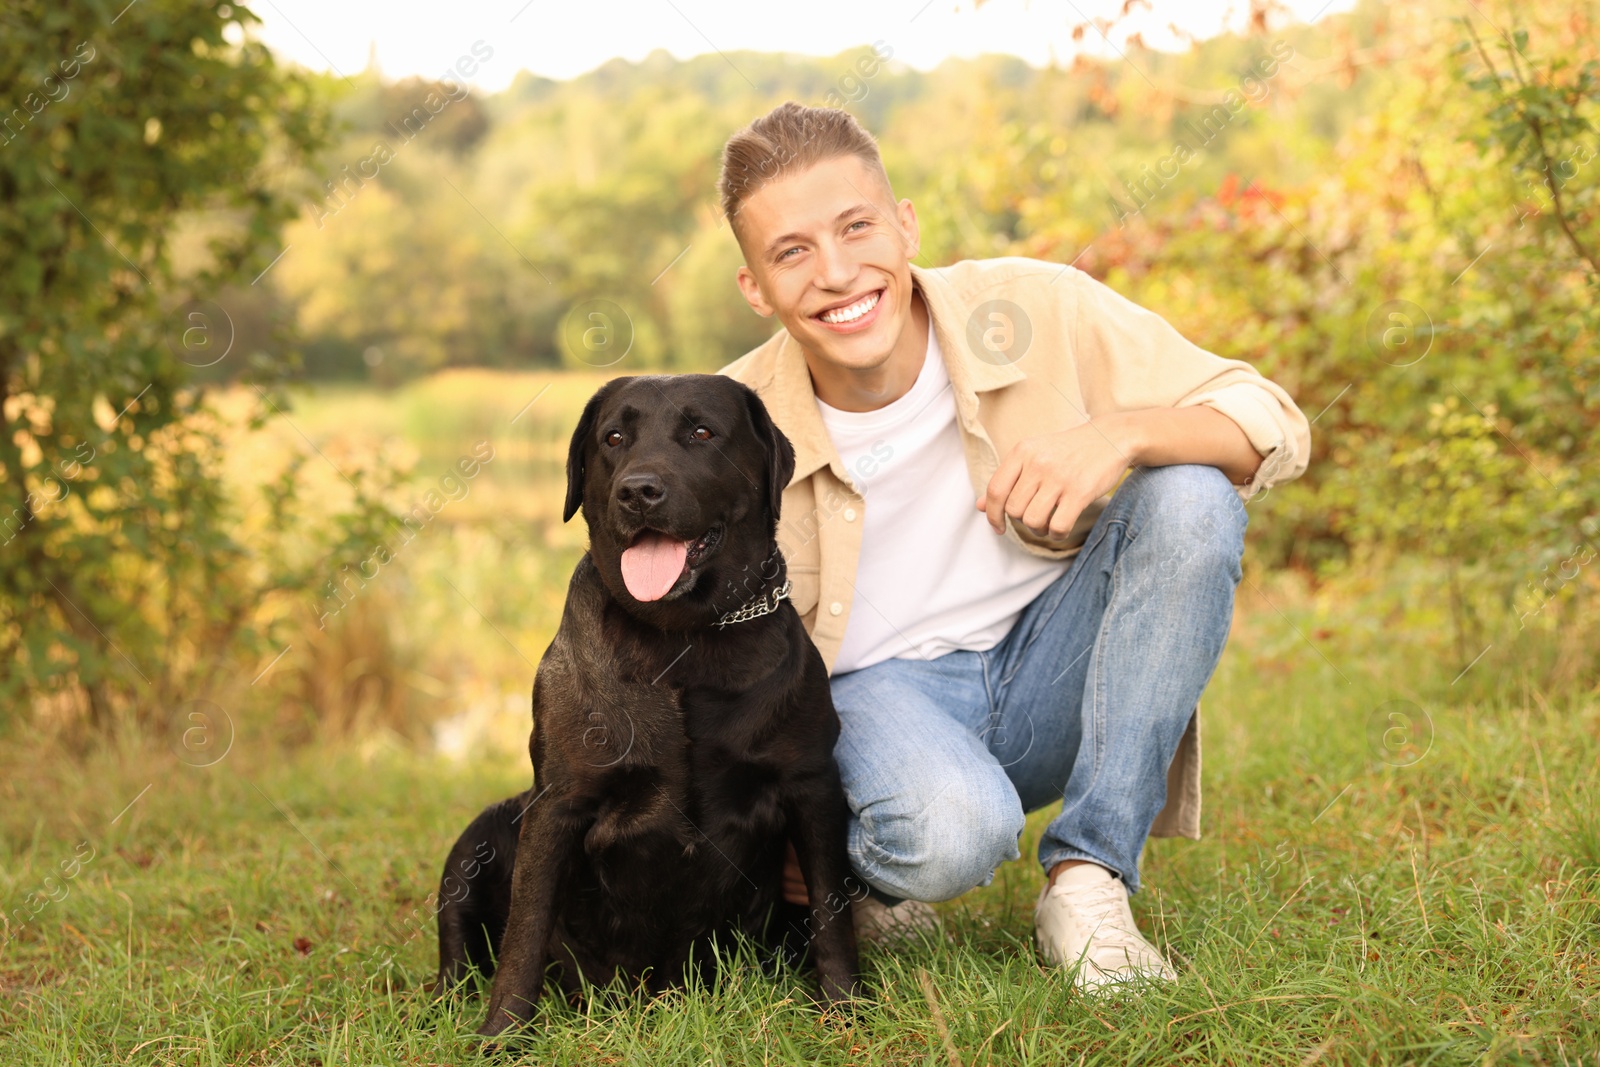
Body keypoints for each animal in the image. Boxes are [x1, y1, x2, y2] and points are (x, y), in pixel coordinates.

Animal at [438, 374, 864, 1036]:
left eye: (702, 432)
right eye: (614, 438)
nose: (638, 490)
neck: (680, 642)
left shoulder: (812, 783)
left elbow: (830, 909)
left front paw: (845, 1012)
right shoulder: (557, 802)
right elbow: (525, 932)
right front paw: (503, 1034)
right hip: (478, 840)